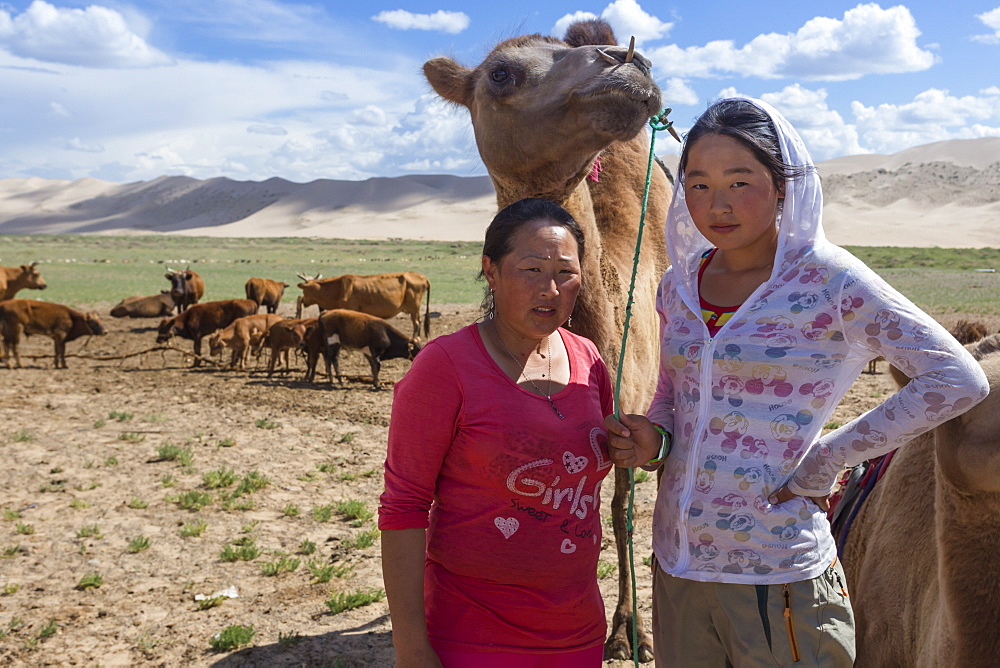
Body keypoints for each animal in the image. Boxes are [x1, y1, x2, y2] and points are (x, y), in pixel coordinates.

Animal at [292, 270, 428, 336]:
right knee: (419, 322)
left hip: (414, 308)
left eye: (304, 290)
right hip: (415, 311)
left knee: (416, 324)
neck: (338, 288)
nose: (303, 300)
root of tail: (424, 278)